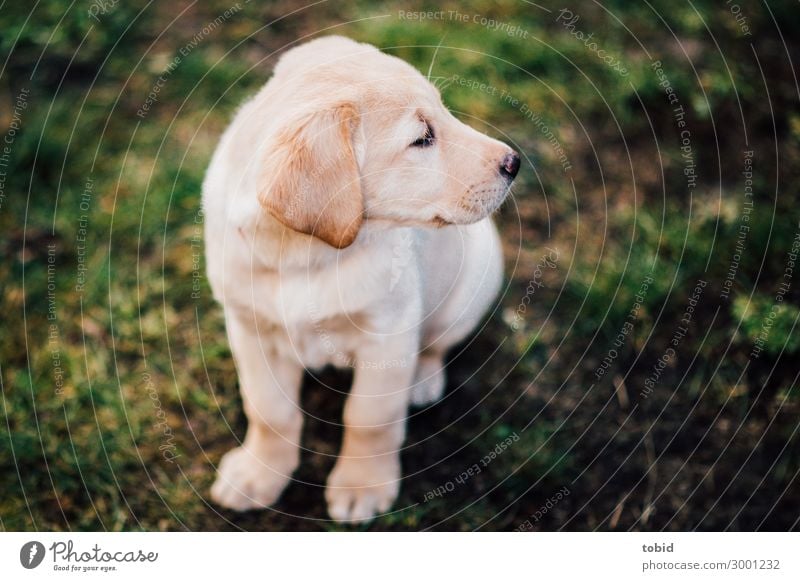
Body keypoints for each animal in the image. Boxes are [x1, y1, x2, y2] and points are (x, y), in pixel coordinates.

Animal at [203, 36, 520, 520]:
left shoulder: (388, 335)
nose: (514, 162)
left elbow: (370, 418)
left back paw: (422, 381)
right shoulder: (249, 330)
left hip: (472, 285)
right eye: (421, 138)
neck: (304, 257)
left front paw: (362, 487)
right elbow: (269, 410)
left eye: (443, 111)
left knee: (436, 345)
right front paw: (258, 474)